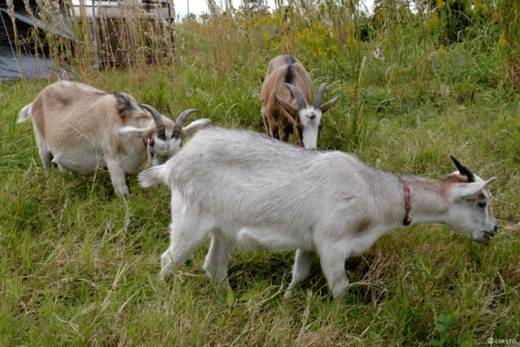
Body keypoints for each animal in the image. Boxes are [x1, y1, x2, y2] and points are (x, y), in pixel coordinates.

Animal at [18, 81, 209, 196]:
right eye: (151, 148)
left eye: (178, 152)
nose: (161, 184)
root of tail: (36, 100)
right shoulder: (113, 163)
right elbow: (123, 194)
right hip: (42, 146)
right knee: (47, 167)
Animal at [139, 128, 500, 300]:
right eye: (481, 202)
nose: (494, 230)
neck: (374, 192)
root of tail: (172, 165)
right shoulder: (332, 244)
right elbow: (340, 287)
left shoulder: (309, 243)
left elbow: (299, 274)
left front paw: (285, 300)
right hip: (190, 220)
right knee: (169, 259)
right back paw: (163, 296)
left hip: (223, 229)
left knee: (213, 266)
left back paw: (231, 300)